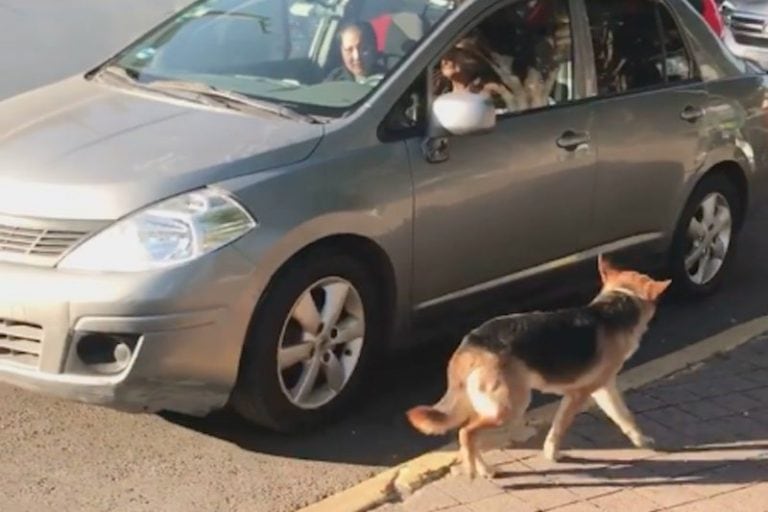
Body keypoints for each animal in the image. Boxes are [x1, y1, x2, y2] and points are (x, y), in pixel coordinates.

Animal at [404, 258, 668, 478]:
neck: (617, 305)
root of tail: (471, 342)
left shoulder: (605, 389)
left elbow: (625, 417)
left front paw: (641, 440)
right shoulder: (579, 395)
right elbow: (559, 428)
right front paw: (552, 453)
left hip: (492, 405)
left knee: (469, 433)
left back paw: (483, 468)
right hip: (509, 407)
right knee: (466, 433)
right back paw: (477, 470)